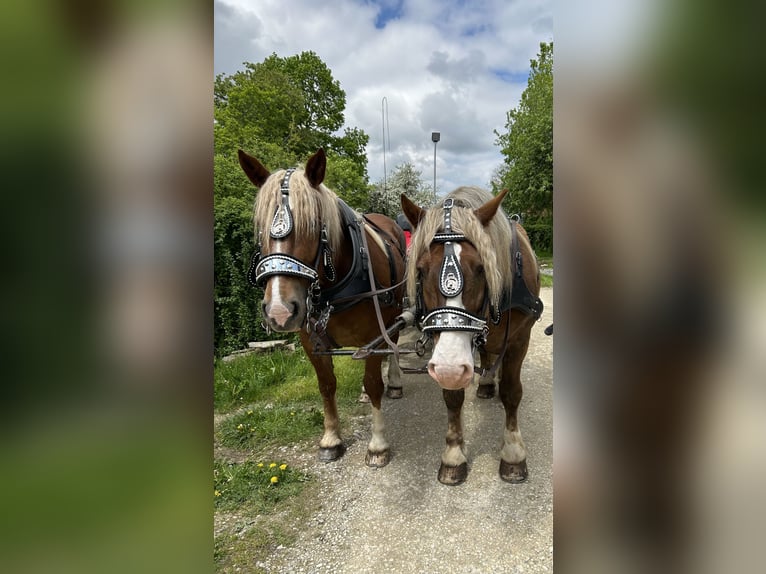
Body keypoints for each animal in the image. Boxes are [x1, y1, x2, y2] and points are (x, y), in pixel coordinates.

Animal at [238, 147, 408, 468]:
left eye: (314, 226)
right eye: (260, 230)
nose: (279, 311)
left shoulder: (372, 335)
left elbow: (373, 380)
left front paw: (377, 445)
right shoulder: (310, 340)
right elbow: (326, 385)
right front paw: (331, 439)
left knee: (392, 345)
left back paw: (393, 382)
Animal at [402, 189, 544, 486]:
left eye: (481, 268)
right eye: (420, 270)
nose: (450, 368)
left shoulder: (519, 340)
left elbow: (512, 392)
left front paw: (513, 453)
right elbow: (452, 395)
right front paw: (454, 455)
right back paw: (487, 383)